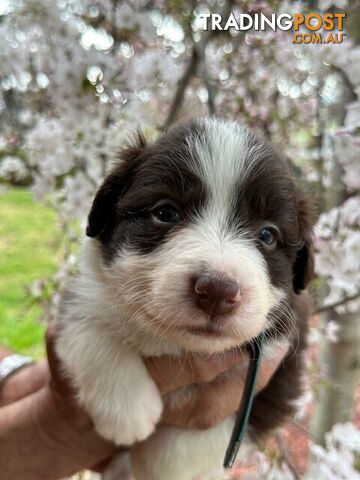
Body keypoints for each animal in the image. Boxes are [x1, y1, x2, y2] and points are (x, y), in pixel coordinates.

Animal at [55, 117, 312, 480]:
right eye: (165, 213)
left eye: (267, 235)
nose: (217, 291)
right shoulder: (86, 290)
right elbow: (88, 325)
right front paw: (128, 412)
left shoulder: (280, 365)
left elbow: (196, 440)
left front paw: (153, 462)